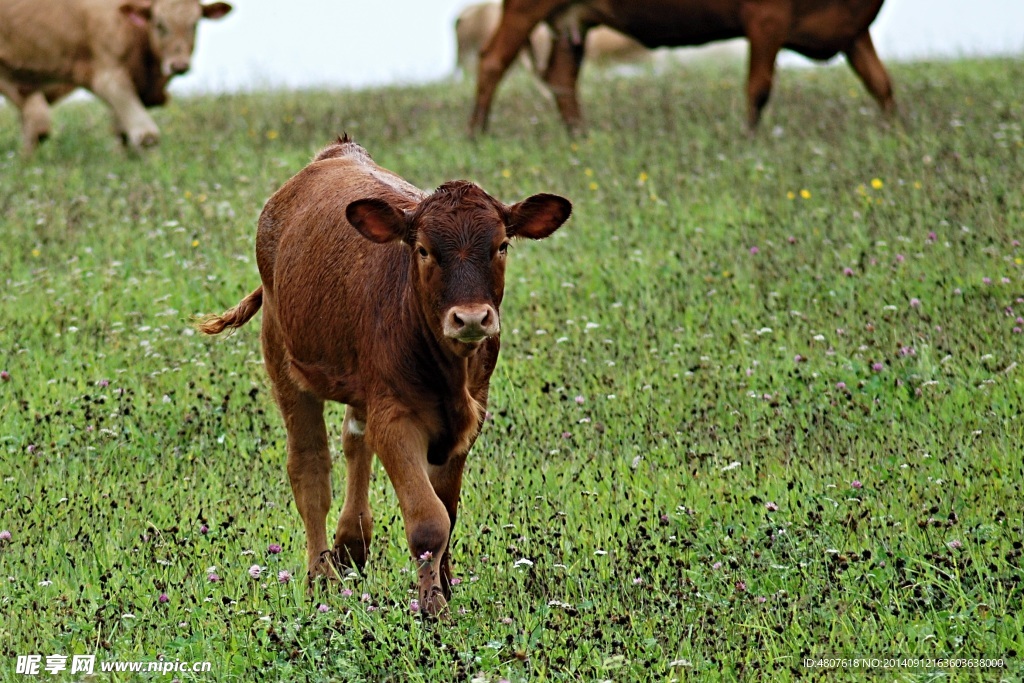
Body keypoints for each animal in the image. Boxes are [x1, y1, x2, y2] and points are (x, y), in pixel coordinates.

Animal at [196, 136, 573, 618]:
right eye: (424, 249)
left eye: (502, 245)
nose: (471, 318)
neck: (448, 372)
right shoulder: (395, 417)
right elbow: (429, 520)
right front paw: (433, 606)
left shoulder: (470, 416)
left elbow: (448, 509)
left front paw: (445, 585)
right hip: (282, 355)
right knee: (310, 468)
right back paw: (322, 576)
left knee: (355, 439)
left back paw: (351, 544)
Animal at [471, 0, 897, 134]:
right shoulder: (766, 18)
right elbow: (758, 89)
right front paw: (750, 140)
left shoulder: (854, 30)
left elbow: (881, 84)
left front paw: (897, 134)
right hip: (525, 7)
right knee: (492, 62)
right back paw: (477, 134)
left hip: (572, 23)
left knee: (562, 80)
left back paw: (580, 137)